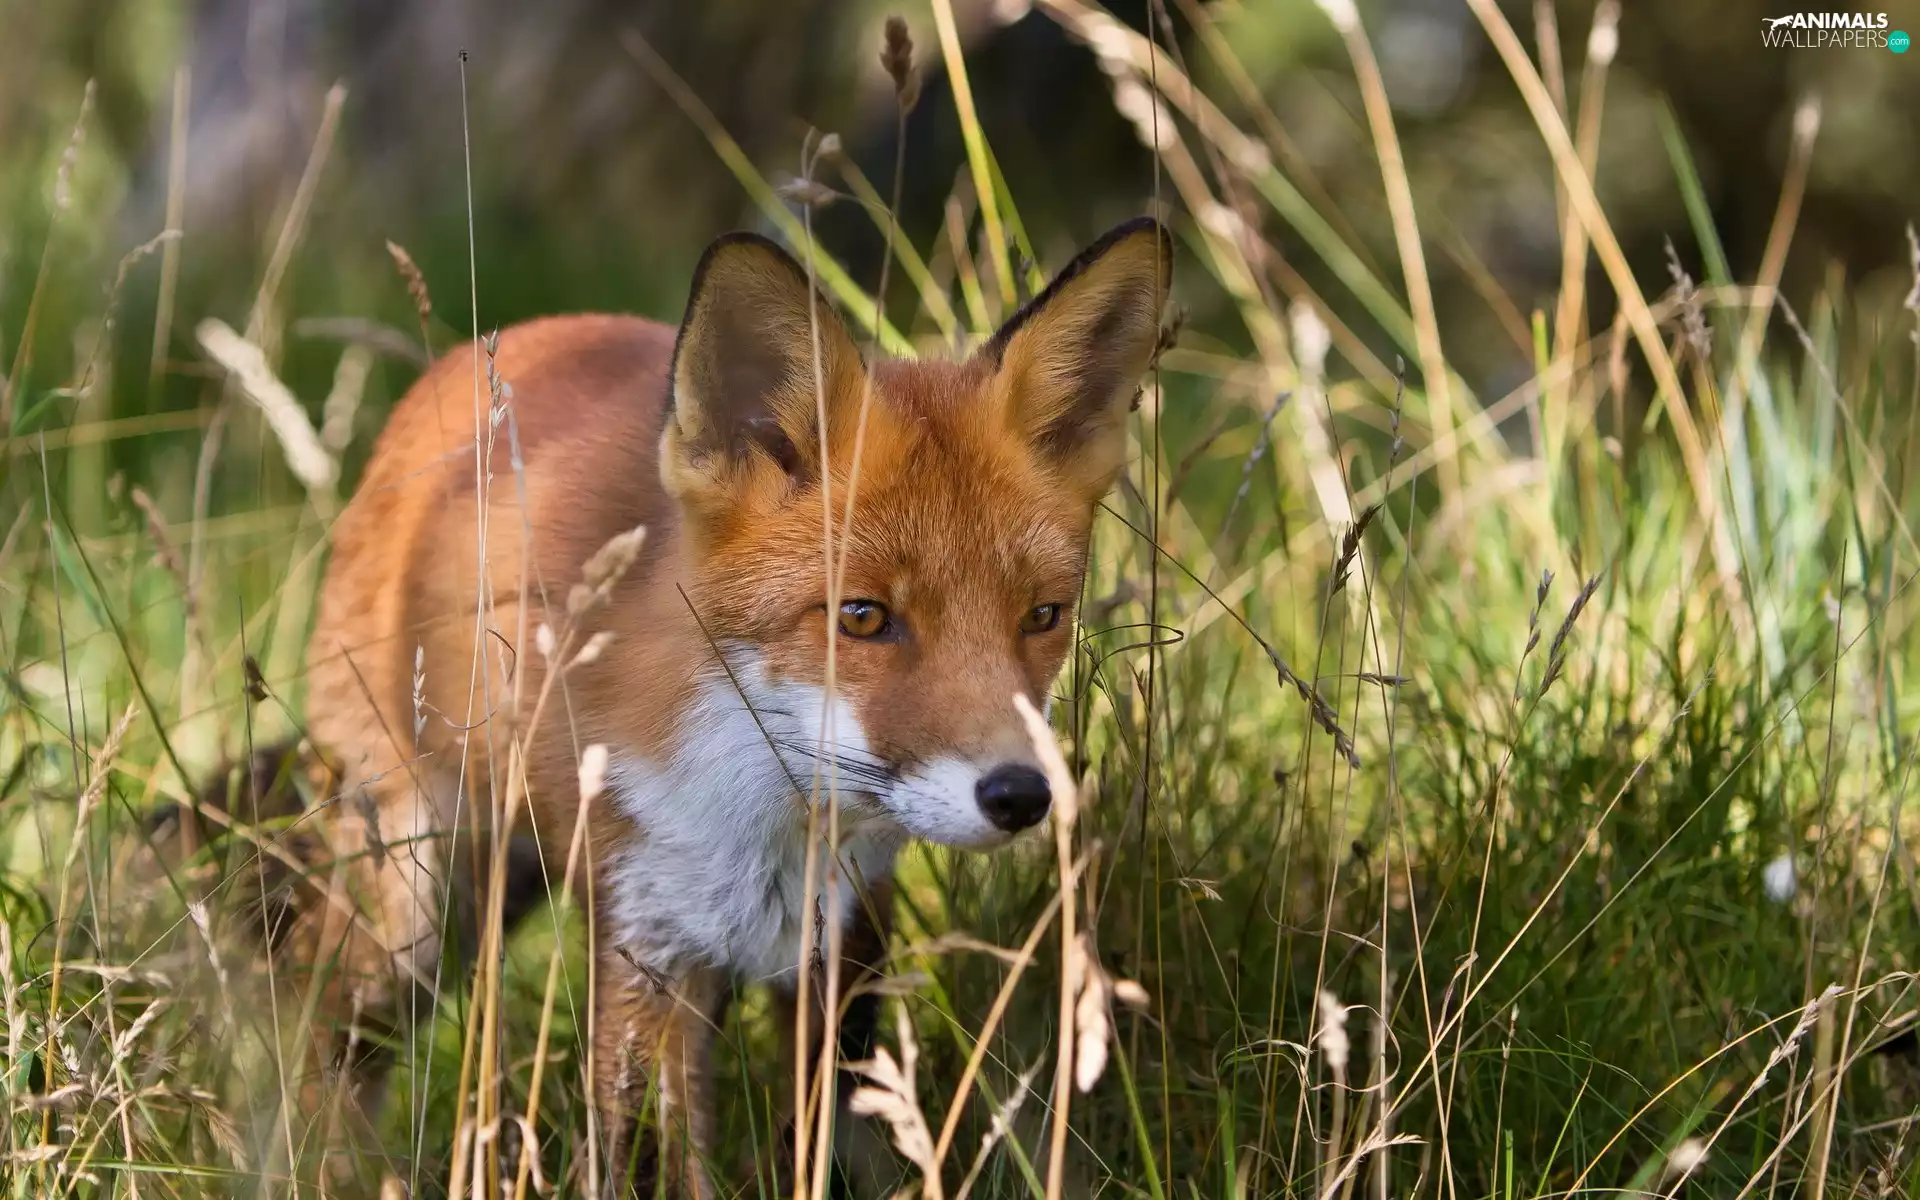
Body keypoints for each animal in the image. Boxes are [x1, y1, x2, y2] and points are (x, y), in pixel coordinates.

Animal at [208, 216, 1170, 1193]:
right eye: (863, 617)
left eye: (1042, 616)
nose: (1021, 795)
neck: (758, 820)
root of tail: (489, 347)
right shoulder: (646, 945)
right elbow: (643, 1154)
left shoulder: (839, 940)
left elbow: (823, 1133)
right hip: (415, 898)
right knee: (326, 1028)